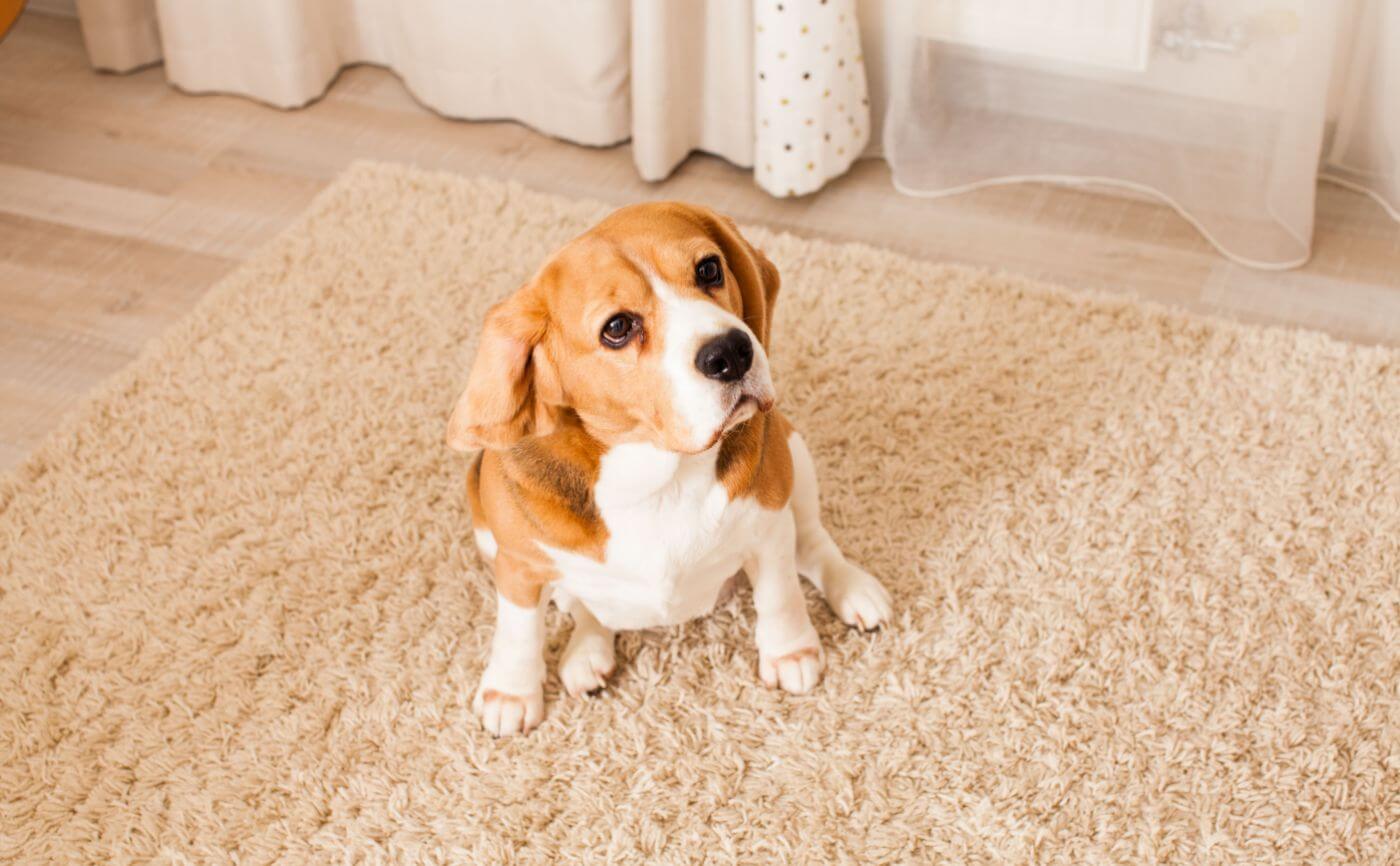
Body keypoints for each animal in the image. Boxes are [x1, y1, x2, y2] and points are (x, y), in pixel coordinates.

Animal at [448, 202, 896, 738]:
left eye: (709, 269)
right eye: (617, 327)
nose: (732, 353)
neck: (658, 470)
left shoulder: (767, 524)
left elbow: (781, 593)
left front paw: (790, 652)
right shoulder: (517, 564)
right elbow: (517, 631)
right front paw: (511, 692)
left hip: (792, 451)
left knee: (811, 543)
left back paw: (852, 588)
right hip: (484, 531)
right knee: (581, 606)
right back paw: (588, 650)